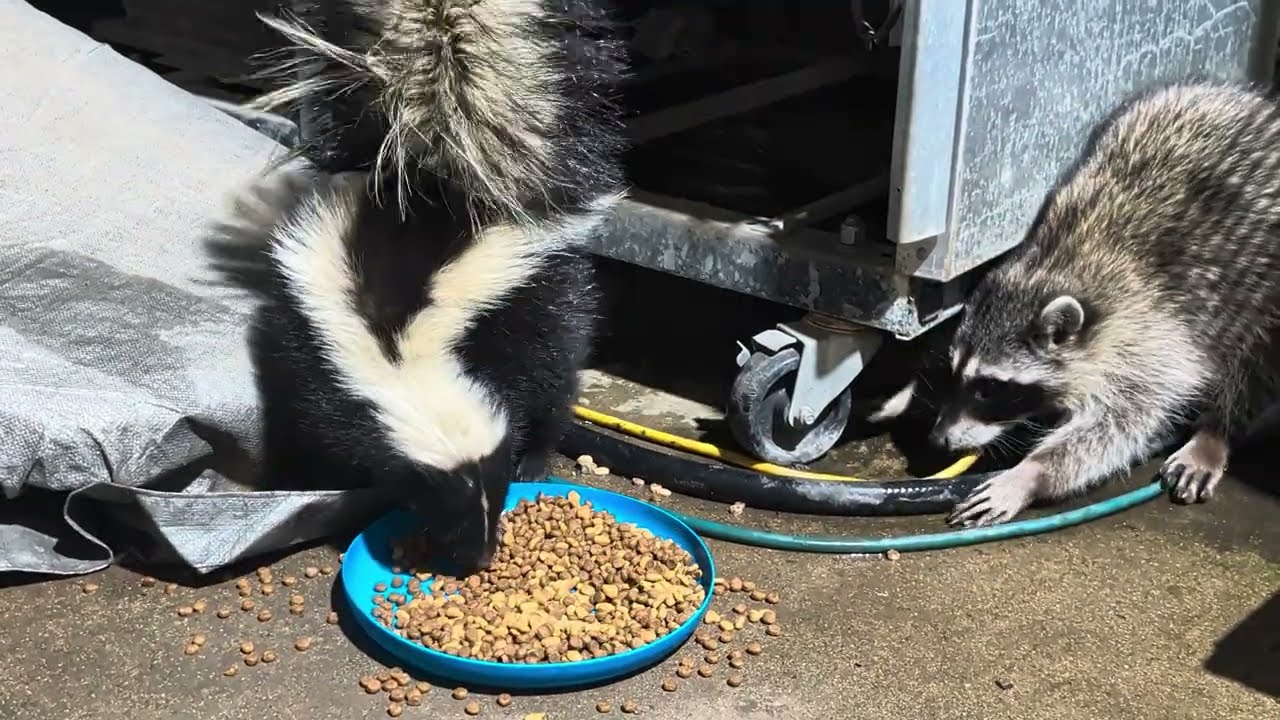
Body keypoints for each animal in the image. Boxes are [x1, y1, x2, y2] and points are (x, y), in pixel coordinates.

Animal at [929, 81, 1280, 527]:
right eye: (954, 373)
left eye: (989, 388)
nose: (938, 439)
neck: (1051, 267)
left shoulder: (1152, 336)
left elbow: (1120, 423)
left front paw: (1030, 473)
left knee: (1255, 363)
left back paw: (1217, 430)